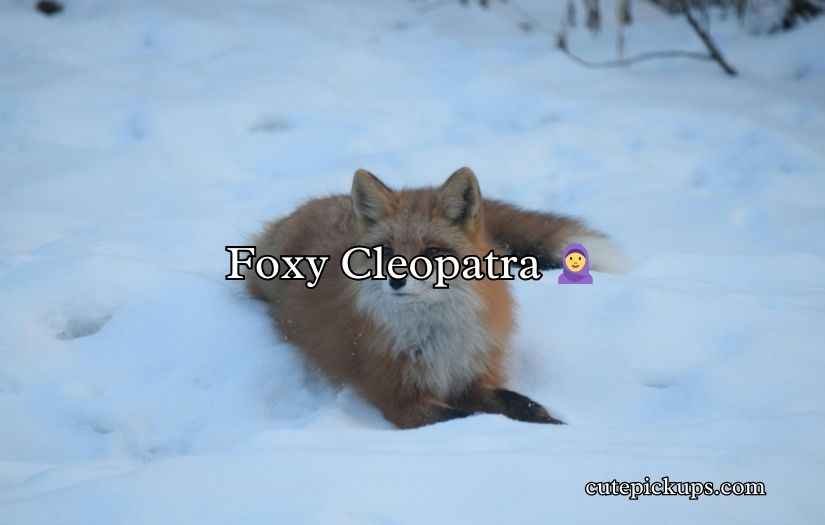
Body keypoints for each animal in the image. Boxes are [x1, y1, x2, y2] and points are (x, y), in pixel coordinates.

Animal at [245, 167, 623, 429]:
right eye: (386, 251)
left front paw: (557, 427)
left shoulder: (472, 376)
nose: (396, 280)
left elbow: (523, 404)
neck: (438, 340)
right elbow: (468, 417)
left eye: (431, 251)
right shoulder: (402, 399)